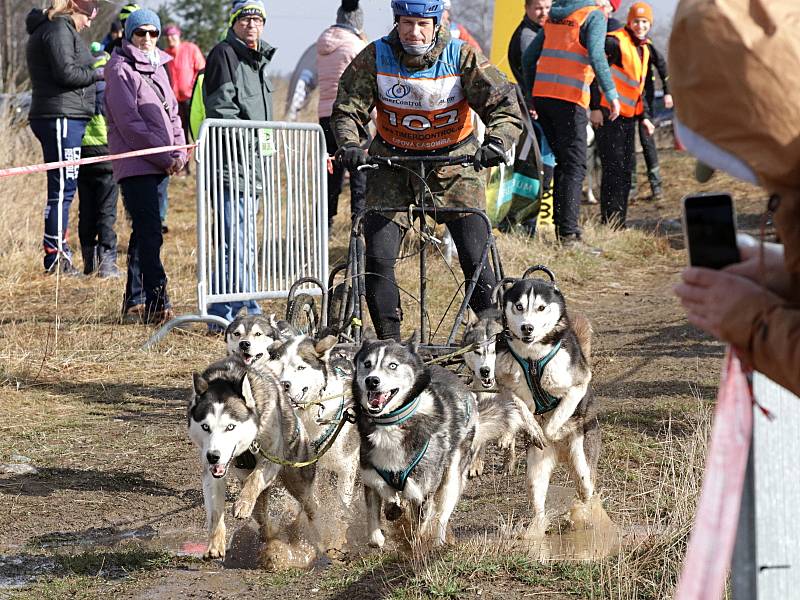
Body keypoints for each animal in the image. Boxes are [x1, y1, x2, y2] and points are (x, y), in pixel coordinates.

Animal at [189, 356, 318, 556]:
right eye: (205, 426)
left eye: (230, 427)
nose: (213, 456)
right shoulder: (212, 473)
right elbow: (215, 511)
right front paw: (215, 543)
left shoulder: (271, 458)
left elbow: (255, 478)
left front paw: (243, 502)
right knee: (261, 513)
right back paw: (268, 534)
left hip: (298, 479)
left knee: (309, 505)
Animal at [350, 332, 544, 548]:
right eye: (367, 364)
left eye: (392, 365)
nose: (371, 381)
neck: (393, 422)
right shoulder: (370, 474)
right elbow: (376, 521)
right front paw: (390, 511)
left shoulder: (423, 492)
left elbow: (420, 528)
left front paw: (417, 544)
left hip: (452, 476)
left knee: (442, 513)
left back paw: (438, 541)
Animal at [494, 276, 600, 528]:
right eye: (519, 306)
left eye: (541, 307)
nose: (527, 328)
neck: (532, 358)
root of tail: (561, 456)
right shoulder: (505, 386)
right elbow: (522, 407)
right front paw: (532, 430)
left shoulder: (578, 385)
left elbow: (556, 420)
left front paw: (555, 431)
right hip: (535, 473)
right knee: (538, 503)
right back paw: (537, 527)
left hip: (582, 463)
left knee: (586, 490)